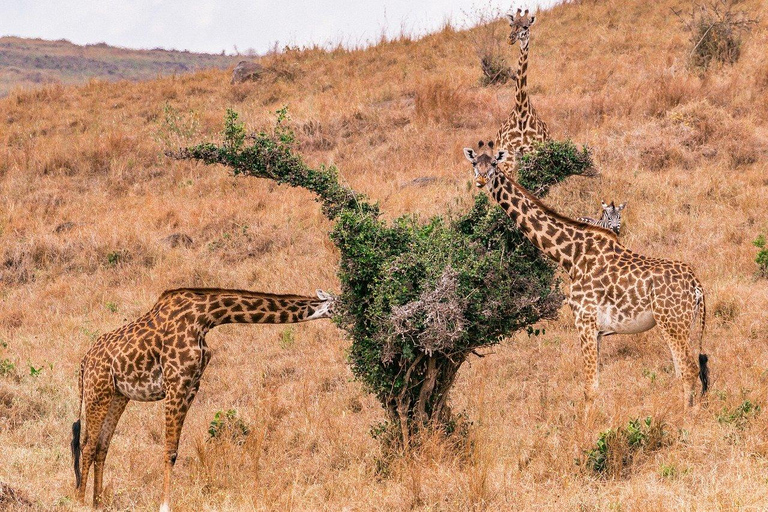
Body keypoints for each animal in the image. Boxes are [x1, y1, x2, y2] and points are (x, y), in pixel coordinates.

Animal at [70, 286, 334, 510]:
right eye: (337, 303)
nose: (343, 318)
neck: (206, 317)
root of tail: (84, 361)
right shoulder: (176, 383)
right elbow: (170, 450)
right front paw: (165, 505)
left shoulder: (192, 386)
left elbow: (174, 450)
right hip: (97, 392)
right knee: (88, 446)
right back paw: (81, 502)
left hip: (117, 396)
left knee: (102, 446)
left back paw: (98, 503)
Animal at [462, 142, 708, 410]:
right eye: (474, 163)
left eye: (494, 164)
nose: (481, 180)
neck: (571, 256)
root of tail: (697, 286)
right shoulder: (597, 331)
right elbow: (595, 383)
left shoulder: (584, 322)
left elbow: (589, 388)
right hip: (682, 324)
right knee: (684, 370)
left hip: (672, 323)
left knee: (689, 369)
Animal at [496, 8, 548, 168]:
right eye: (511, 25)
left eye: (525, 26)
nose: (510, 39)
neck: (521, 113)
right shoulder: (508, 156)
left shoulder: (532, 153)